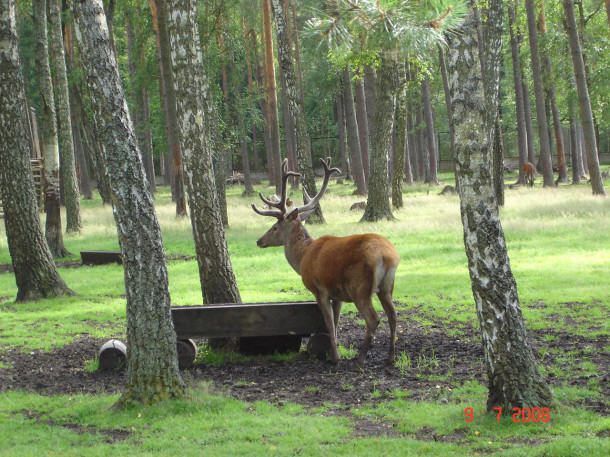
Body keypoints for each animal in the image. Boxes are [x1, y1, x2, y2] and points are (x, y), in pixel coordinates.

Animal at [252, 157, 400, 366]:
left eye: (274, 227)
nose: (259, 241)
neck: (303, 257)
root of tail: (388, 256)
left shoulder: (318, 289)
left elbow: (329, 323)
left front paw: (335, 357)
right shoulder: (337, 293)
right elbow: (337, 322)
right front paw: (334, 349)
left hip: (359, 287)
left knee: (373, 319)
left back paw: (360, 360)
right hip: (387, 286)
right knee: (393, 315)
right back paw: (390, 358)